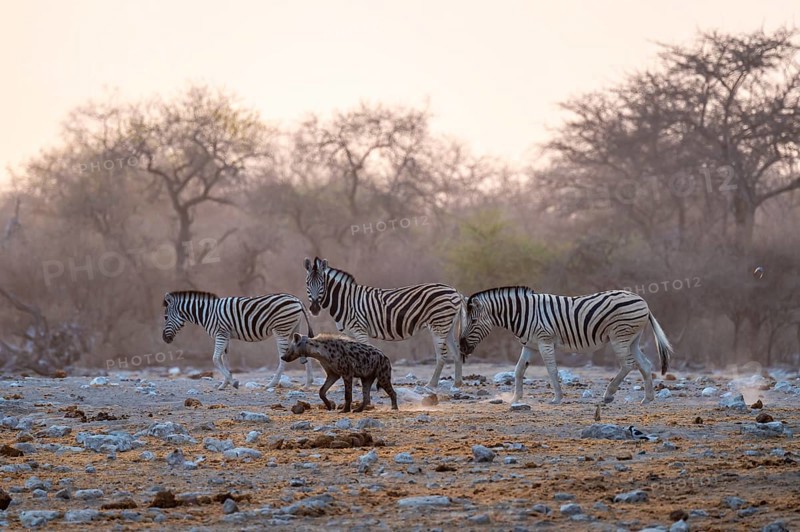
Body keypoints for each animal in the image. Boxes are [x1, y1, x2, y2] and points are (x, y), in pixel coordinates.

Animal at [162, 290, 316, 390]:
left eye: (165, 317)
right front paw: (224, 384)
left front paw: (233, 382)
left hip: (281, 329)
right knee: (302, 346)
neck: (207, 313)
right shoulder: (225, 337)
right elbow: (224, 359)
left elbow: (215, 359)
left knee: (282, 357)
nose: (164, 339)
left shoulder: (220, 334)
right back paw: (308, 383)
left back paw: (272, 383)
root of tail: (297, 300)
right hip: (293, 328)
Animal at [304, 257, 465, 388]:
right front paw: (354, 381)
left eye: (322, 284)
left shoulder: (359, 329)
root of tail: (455, 291)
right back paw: (457, 383)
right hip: (448, 327)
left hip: (439, 325)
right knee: (456, 352)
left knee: (442, 356)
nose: (314, 308)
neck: (345, 300)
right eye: (307, 283)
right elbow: (351, 356)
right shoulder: (349, 333)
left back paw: (431, 384)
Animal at [459, 286, 672, 404]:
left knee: (628, 364)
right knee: (645, 364)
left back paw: (608, 394)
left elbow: (552, 369)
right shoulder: (530, 345)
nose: (462, 348)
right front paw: (515, 398)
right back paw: (647, 398)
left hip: (619, 336)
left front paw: (557, 398)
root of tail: (642, 301)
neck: (522, 313)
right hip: (632, 339)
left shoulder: (544, 341)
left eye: (473, 322)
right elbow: (518, 370)